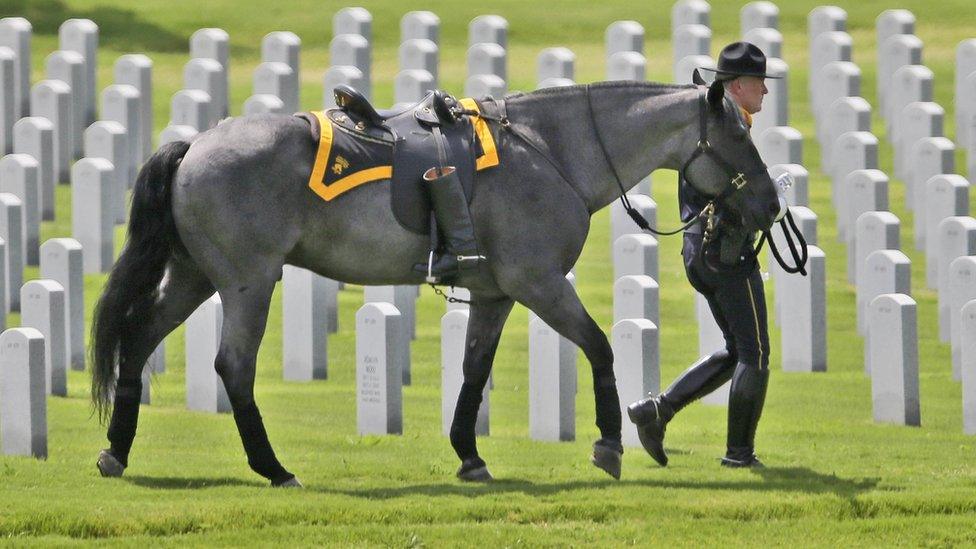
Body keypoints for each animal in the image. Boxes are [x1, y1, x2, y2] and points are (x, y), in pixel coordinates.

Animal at [89, 77, 776, 484]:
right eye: (740, 134)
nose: (771, 204)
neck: (550, 150)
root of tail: (195, 144)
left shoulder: (497, 294)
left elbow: (474, 370)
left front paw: (468, 453)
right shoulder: (540, 282)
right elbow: (601, 347)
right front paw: (609, 442)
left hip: (195, 277)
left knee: (139, 337)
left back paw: (117, 450)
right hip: (248, 283)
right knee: (233, 366)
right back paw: (272, 466)